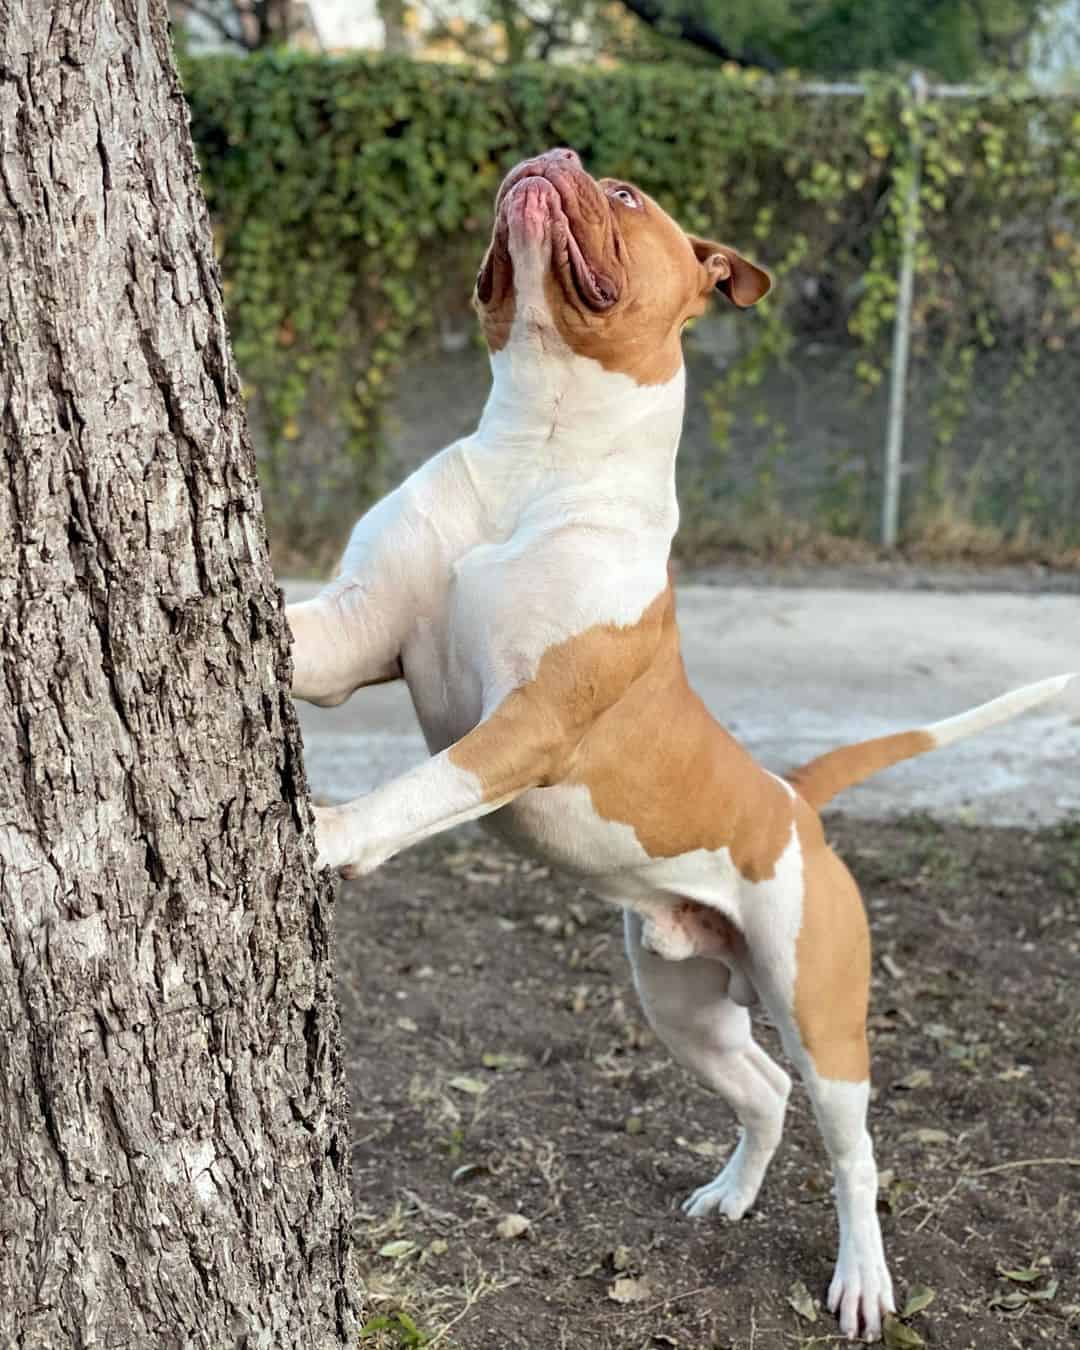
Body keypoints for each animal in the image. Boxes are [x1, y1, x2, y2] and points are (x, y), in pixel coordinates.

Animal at [284, 145, 1069, 1339]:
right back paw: (731, 1195)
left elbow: (424, 786)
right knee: (764, 1091)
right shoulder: (354, 632)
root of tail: (792, 798)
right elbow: (286, 641)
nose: (549, 156)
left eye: (624, 196)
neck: (542, 438)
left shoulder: (530, 720)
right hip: (681, 1002)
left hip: (819, 1008)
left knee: (851, 1147)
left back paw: (863, 1279)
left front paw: (328, 835)